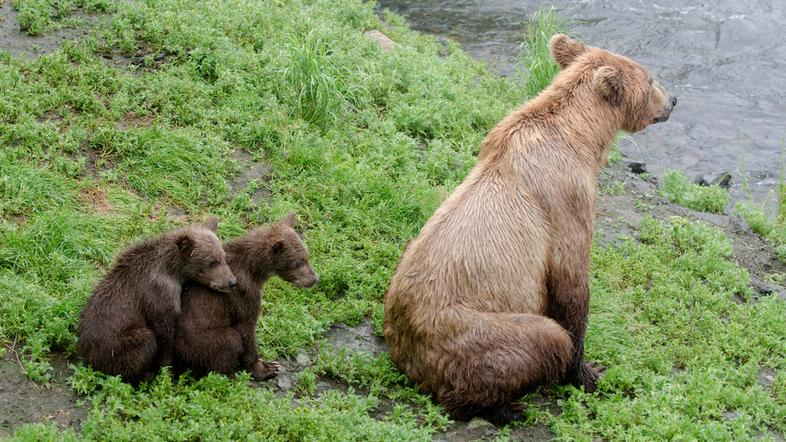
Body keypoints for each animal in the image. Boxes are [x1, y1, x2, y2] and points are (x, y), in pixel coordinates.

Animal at [382, 33, 672, 424]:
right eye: (651, 79)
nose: (673, 101)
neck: (582, 139)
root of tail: (409, 361)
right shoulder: (566, 199)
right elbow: (570, 283)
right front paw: (588, 372)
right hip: (473, 331)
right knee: (543, 339)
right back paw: (506, 406)